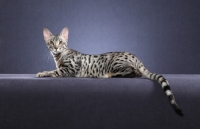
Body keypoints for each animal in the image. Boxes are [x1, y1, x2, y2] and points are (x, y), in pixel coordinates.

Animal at [37, 26, 183, 115]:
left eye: (61, 42)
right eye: (52, 43)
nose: (56, 48)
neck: (59, 57)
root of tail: (136, 57)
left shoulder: (70, 69)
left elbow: (53, 72)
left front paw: (42, 73)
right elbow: (54, 70)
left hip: (115, 63)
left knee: (135, 72)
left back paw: (109, 75)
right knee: (136, 73)